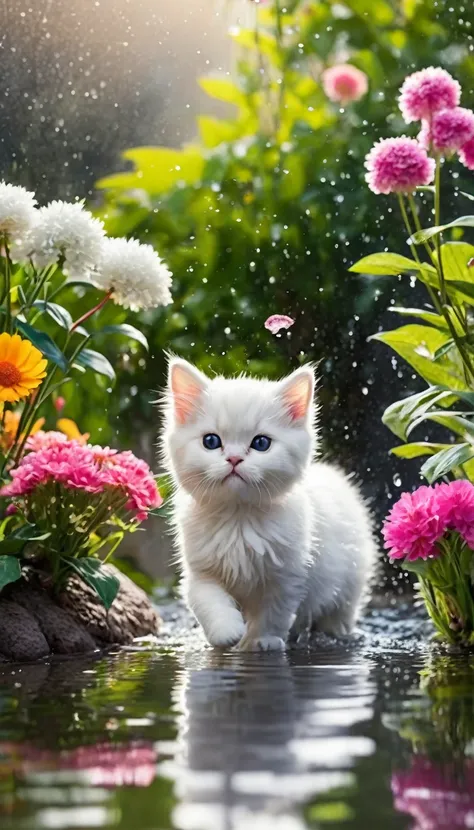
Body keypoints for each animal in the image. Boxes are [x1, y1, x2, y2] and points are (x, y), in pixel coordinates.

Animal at [163, 360, 378, 652]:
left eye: (261, 443)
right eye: (211, 441)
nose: (234, 459)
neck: (239, 518)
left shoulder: (287, 576)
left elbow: (273, 612)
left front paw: (261, 641)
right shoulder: (199, 571)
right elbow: (208, 602)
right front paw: (227, 633)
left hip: (349, 584)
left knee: (338, 613)